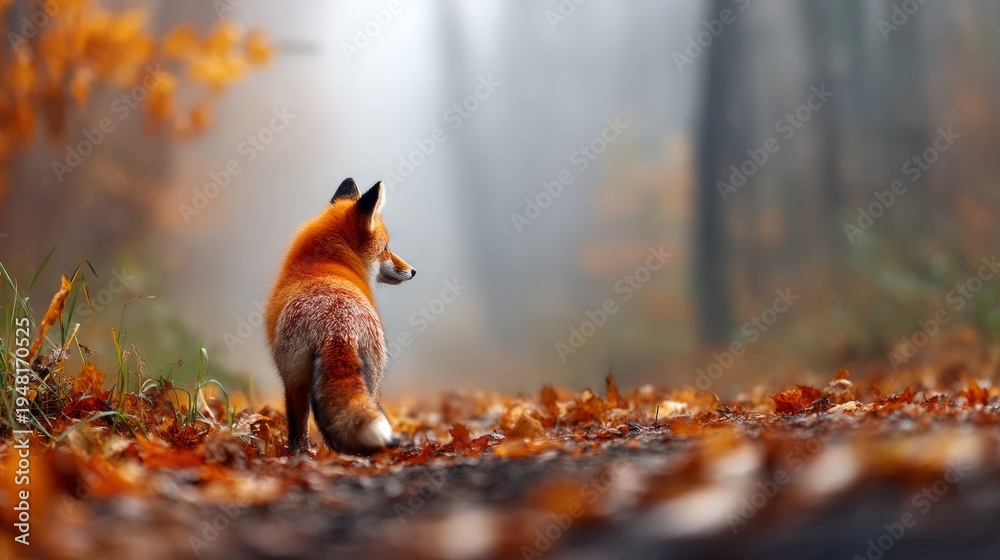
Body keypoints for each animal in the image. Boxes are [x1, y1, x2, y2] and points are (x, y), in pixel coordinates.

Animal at [265, 178, 416, 455]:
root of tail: (338, 326)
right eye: (386, 248)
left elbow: (295, 424)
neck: (322, 262)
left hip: (297, 379)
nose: (413, 271)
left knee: (301, 426)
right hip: (369, 380)